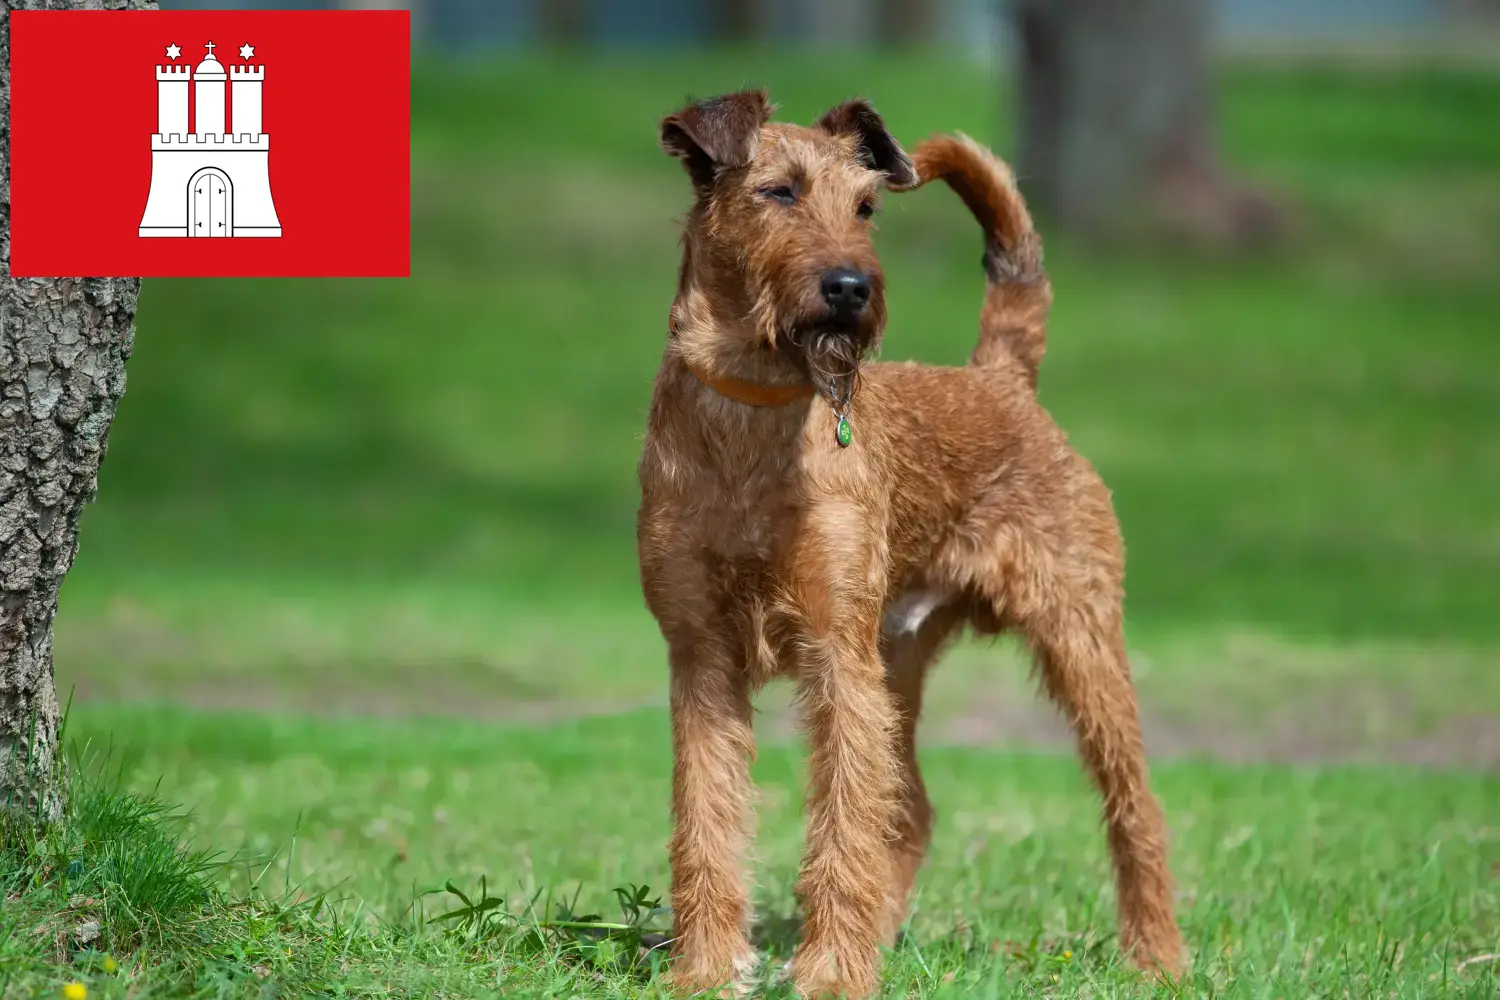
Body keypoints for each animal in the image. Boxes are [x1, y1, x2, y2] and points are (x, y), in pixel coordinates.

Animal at [633, 89, 1182, 995]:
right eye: (779, 192)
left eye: (866, 209)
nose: (852, 287)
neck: (753, 411)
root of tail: (1001, 378)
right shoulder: (701, 655)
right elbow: (707, 821)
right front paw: (709, 968)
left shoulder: (836, 654)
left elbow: (841, 823)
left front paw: (829, 974)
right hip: (902, 658)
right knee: (913, 808)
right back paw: (879, 938)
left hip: (1081, 640)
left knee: (1135, 805)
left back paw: (1158, 957)